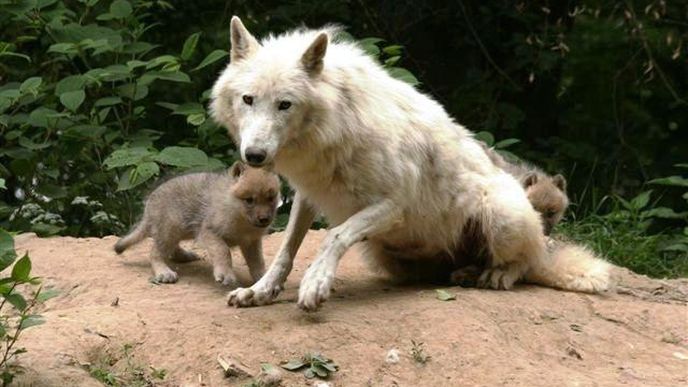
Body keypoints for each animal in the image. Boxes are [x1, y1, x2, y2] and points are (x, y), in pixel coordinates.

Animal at [208, 17, 608, 312]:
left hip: (502, 214)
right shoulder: (308, 195)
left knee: (526, 264)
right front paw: (260, 291)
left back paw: (495, 275)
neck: (337, 125)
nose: (254, 155)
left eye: (284, 104)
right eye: (248, 99)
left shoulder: (393, 205)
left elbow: (334, 236)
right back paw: (462, 272)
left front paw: (315, 283)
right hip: (383, 254)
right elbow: (286, 250)